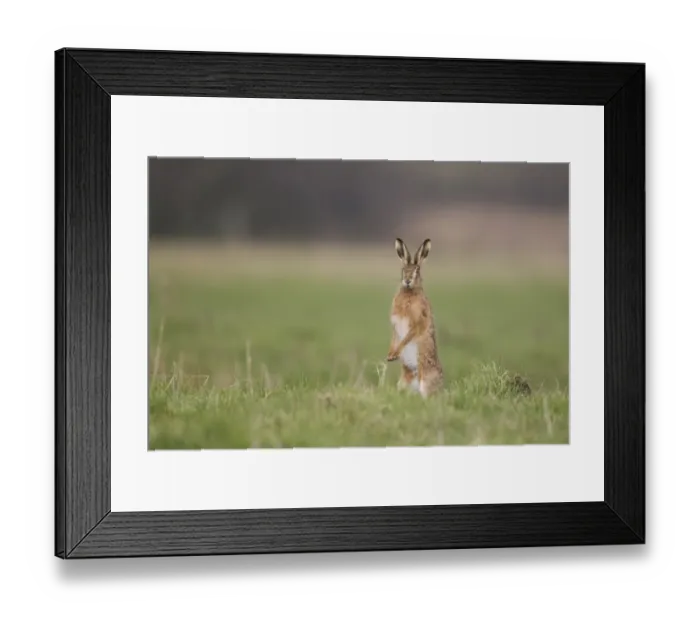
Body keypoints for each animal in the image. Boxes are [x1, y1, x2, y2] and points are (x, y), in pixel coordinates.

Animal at [386, 238, 444, 397]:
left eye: (417, 270)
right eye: (403, 270)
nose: (407, 281)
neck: (409, 292)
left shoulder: (417, 322)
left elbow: (406, 338)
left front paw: (395, 354)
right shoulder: (395, 325)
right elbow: (394, 338)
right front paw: (390, 355)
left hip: (426, 380)